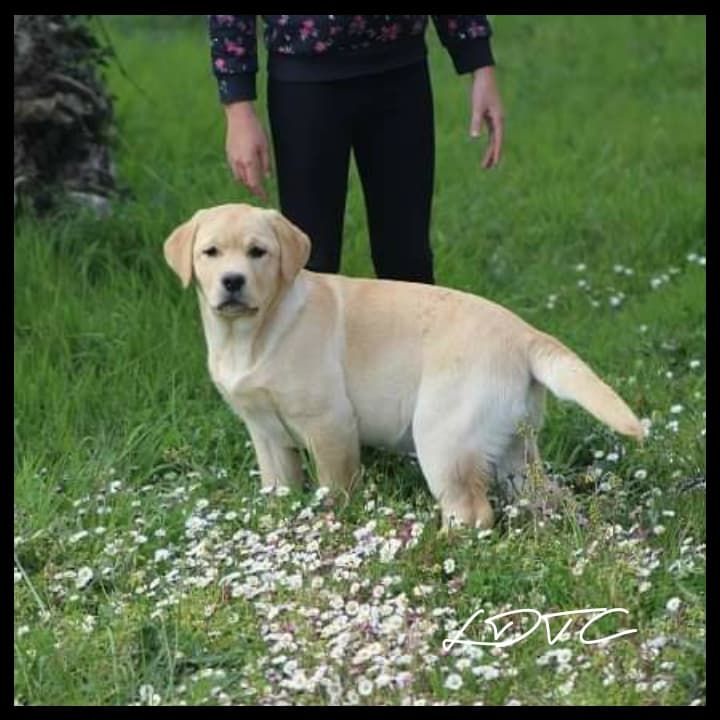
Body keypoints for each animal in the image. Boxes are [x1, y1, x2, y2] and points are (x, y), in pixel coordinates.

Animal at [166, 202, 644, 528]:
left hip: (443, 435)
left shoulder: (330, 423)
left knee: (472, 511)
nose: (232, 281)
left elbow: (334, 489)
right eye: (210, 252)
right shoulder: (265, 432)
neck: (250, 334)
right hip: (515, 447)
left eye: (258, 252)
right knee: (543, 494)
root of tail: (526, 334)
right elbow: (278, 488)